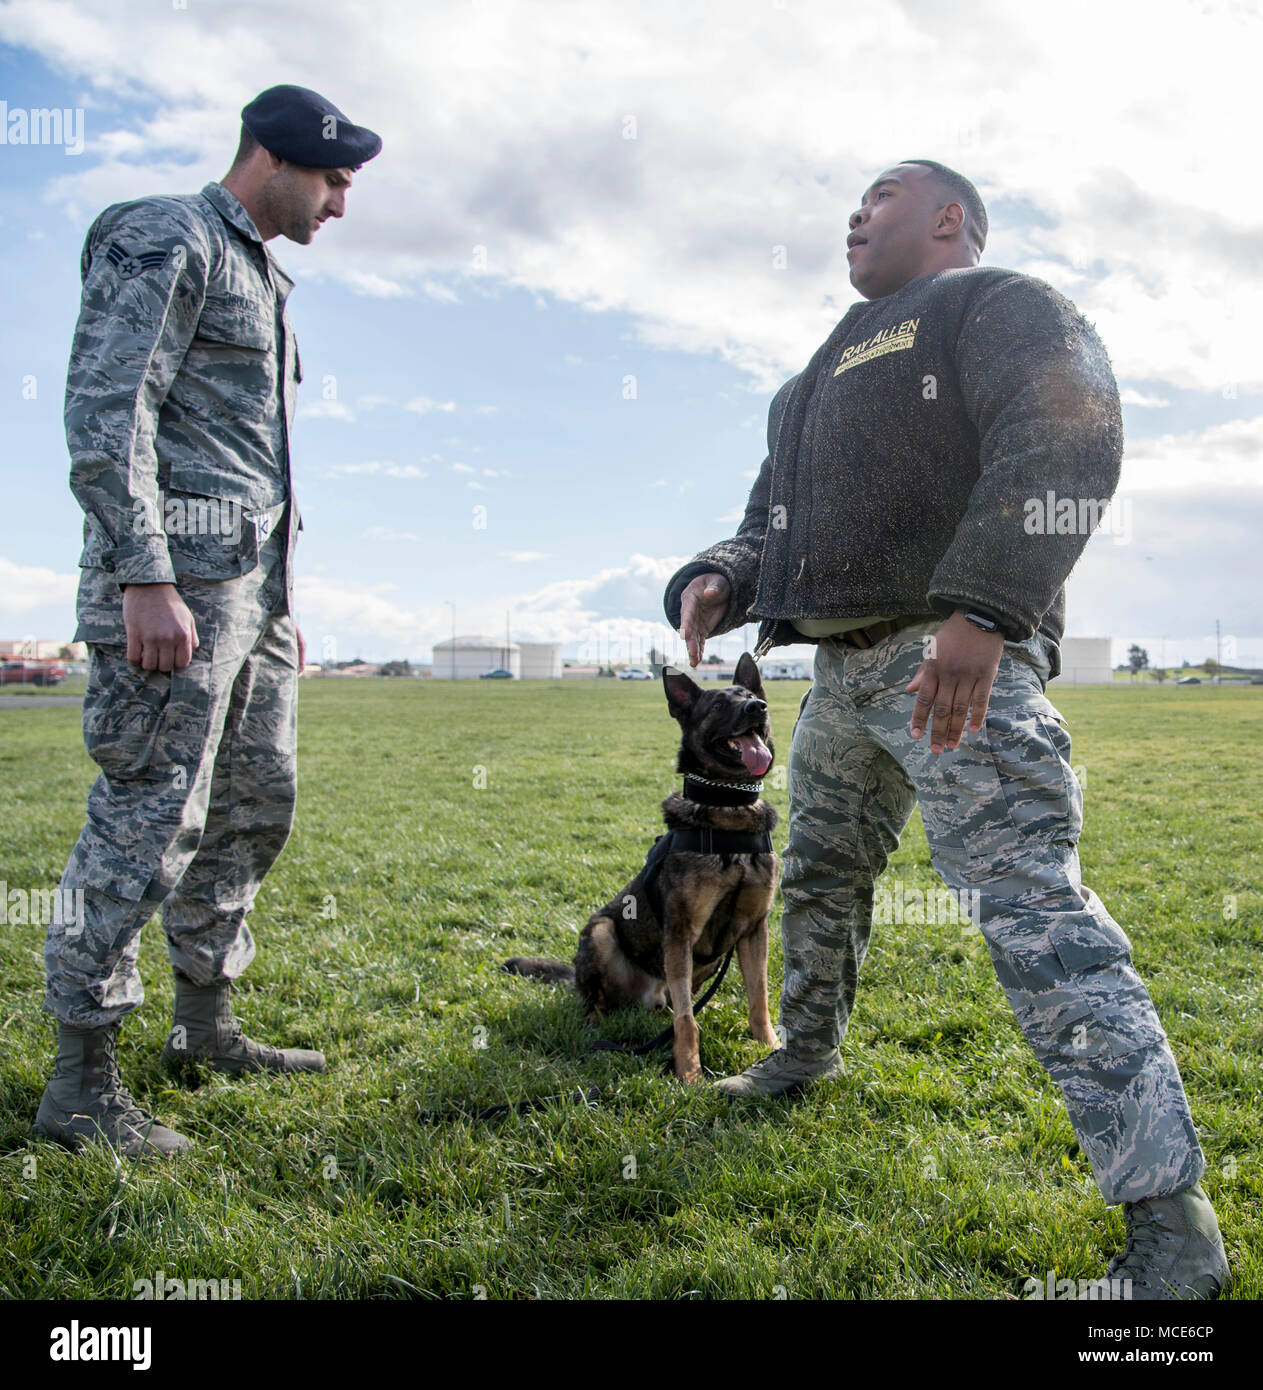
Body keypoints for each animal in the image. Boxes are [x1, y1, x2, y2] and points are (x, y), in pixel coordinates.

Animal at [502, 650, 778, 1084]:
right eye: (718, 705)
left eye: (751, 696)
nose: (757, 708)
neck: (727, 809)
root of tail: (648, 996)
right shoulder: (681, 933)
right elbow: (687, 1022)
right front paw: (689, 1073)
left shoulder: (754, 930)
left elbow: (759, 999)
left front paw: (769, 1048)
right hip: (602, 931)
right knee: (605, 1002)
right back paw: (595, 1026)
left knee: (677, 1003)